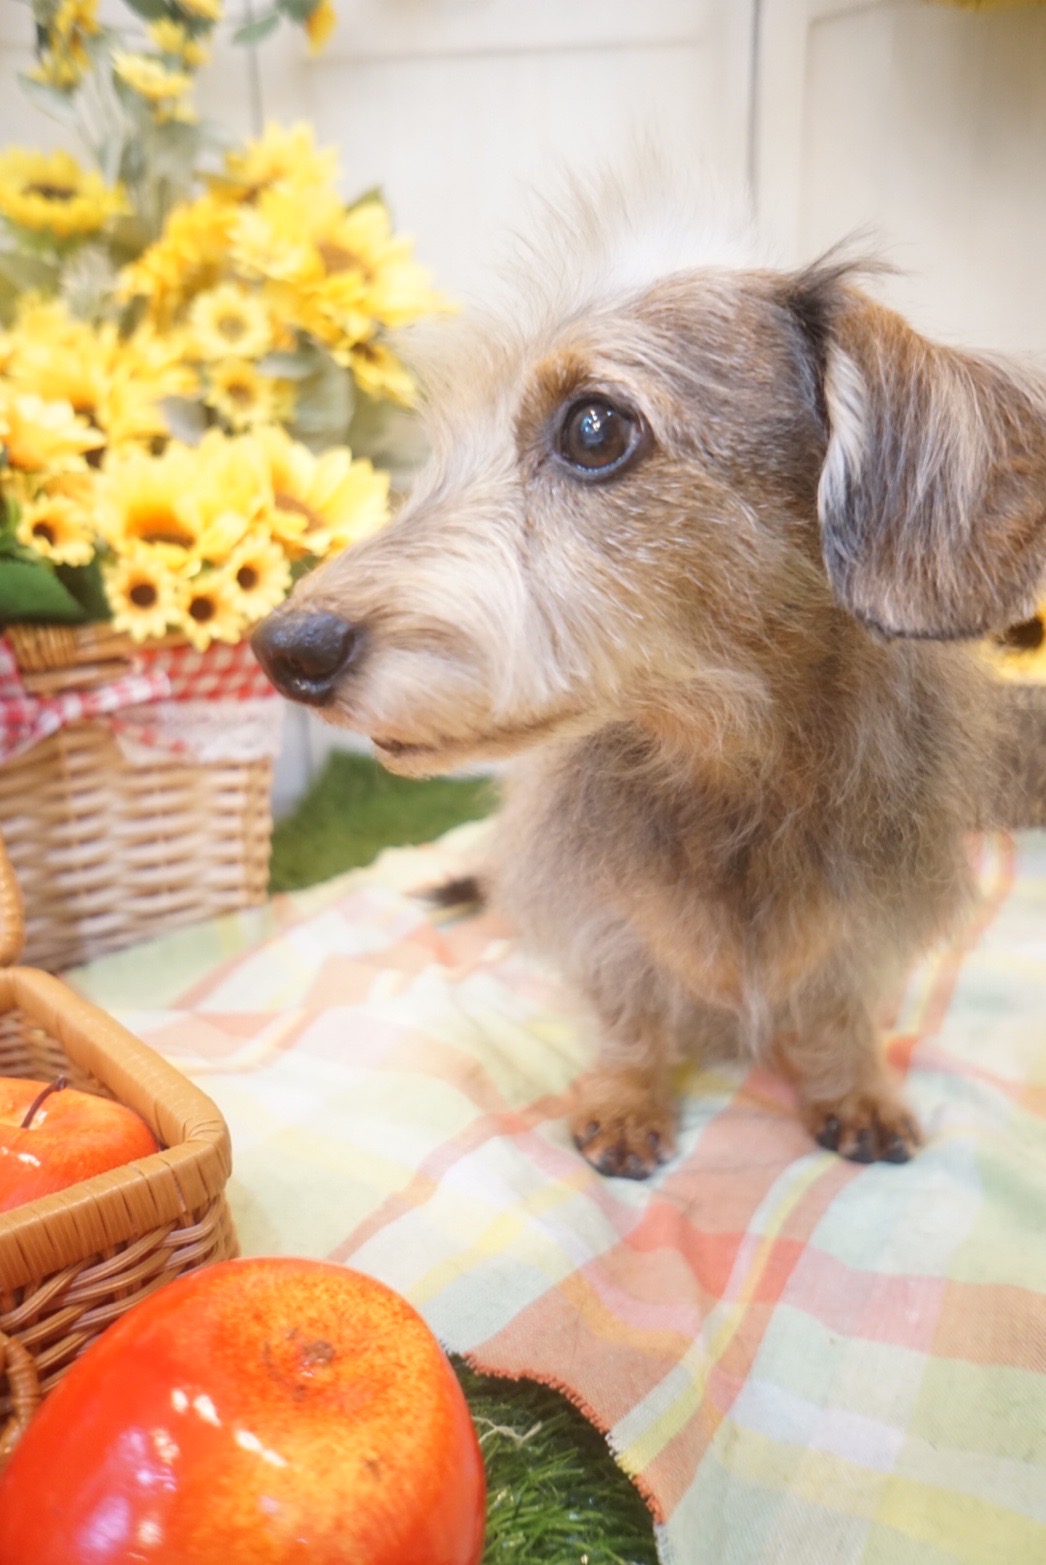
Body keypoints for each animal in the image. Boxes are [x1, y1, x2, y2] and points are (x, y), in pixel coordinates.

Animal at [253, 179, 1046, 1176]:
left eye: (595, 427)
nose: (281, 648)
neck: (730, 773)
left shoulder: (868, 926)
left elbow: (837, 1010)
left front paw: (855, 1086)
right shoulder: (603, 924)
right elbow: (630, 1009)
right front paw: (627, 1099)